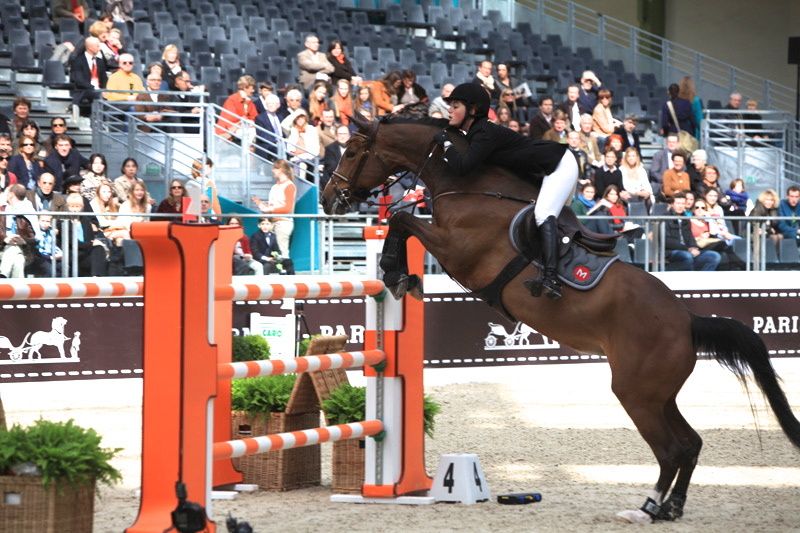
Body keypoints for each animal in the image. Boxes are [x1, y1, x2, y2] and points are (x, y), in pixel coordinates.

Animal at [321, 107, 800, 524]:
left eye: (352, 151)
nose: (329, 200)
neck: (467, 182)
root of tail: (687, 320)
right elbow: (403, 223)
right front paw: (402, 274)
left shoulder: (458, 249)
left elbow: (403, 222)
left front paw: (393, 270)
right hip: (659, 393)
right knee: (690, 443)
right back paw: (670, 508)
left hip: (637, 393)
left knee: (671, 450)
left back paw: (646, 508)